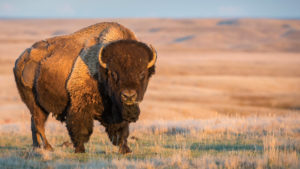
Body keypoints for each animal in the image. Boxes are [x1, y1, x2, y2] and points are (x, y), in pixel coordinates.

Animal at [12, 22, 157, 153]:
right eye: (113, 73)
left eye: (142, 74)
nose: (128, 95)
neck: (101, 69)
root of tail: (20, 60)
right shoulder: (80, 104)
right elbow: (81, 128)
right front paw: (80, 150)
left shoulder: (117, 111)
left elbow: (121, 131)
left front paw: (126, 150)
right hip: (35, 104)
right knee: (39, 124)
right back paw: (48, 147)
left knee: (34, 125)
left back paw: (37, 147)